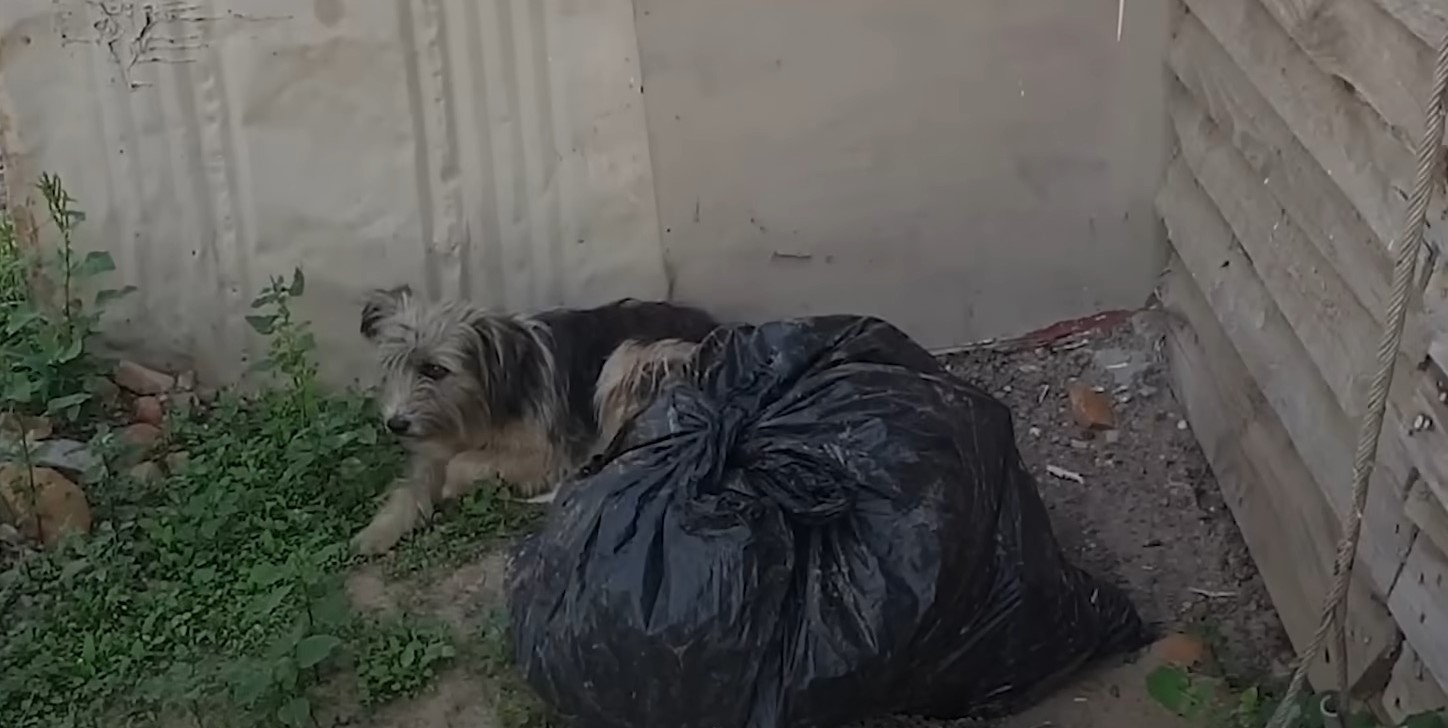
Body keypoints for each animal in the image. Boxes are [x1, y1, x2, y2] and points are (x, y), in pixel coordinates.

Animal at [346, 285, 718, 552]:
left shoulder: (547, 456)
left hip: (627, 360)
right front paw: (378, 530)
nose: (395, 423)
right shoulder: (434, 446)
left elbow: (461, 463)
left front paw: (451, 484)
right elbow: (414, 484)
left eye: (435, 370)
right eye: (392, 366)